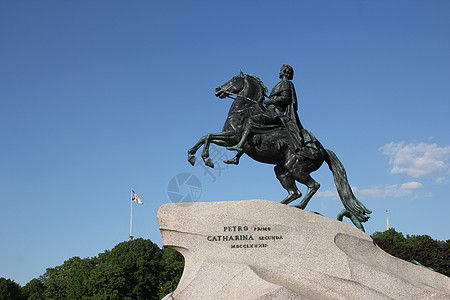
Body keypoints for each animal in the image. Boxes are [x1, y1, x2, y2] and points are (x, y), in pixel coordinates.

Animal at [185, 71, 370, 231]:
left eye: (235, 78)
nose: (217, 90)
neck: (243, 111)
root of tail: (323, 150)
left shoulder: (232, 137)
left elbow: (209, 136)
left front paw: (206, 158)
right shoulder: (227, 138)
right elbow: (205, 137)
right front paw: (192, 156)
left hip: (295, 169)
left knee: (313, 186)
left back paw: (298, 206)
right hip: (281, 170)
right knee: (295, 191)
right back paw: (281, 206)